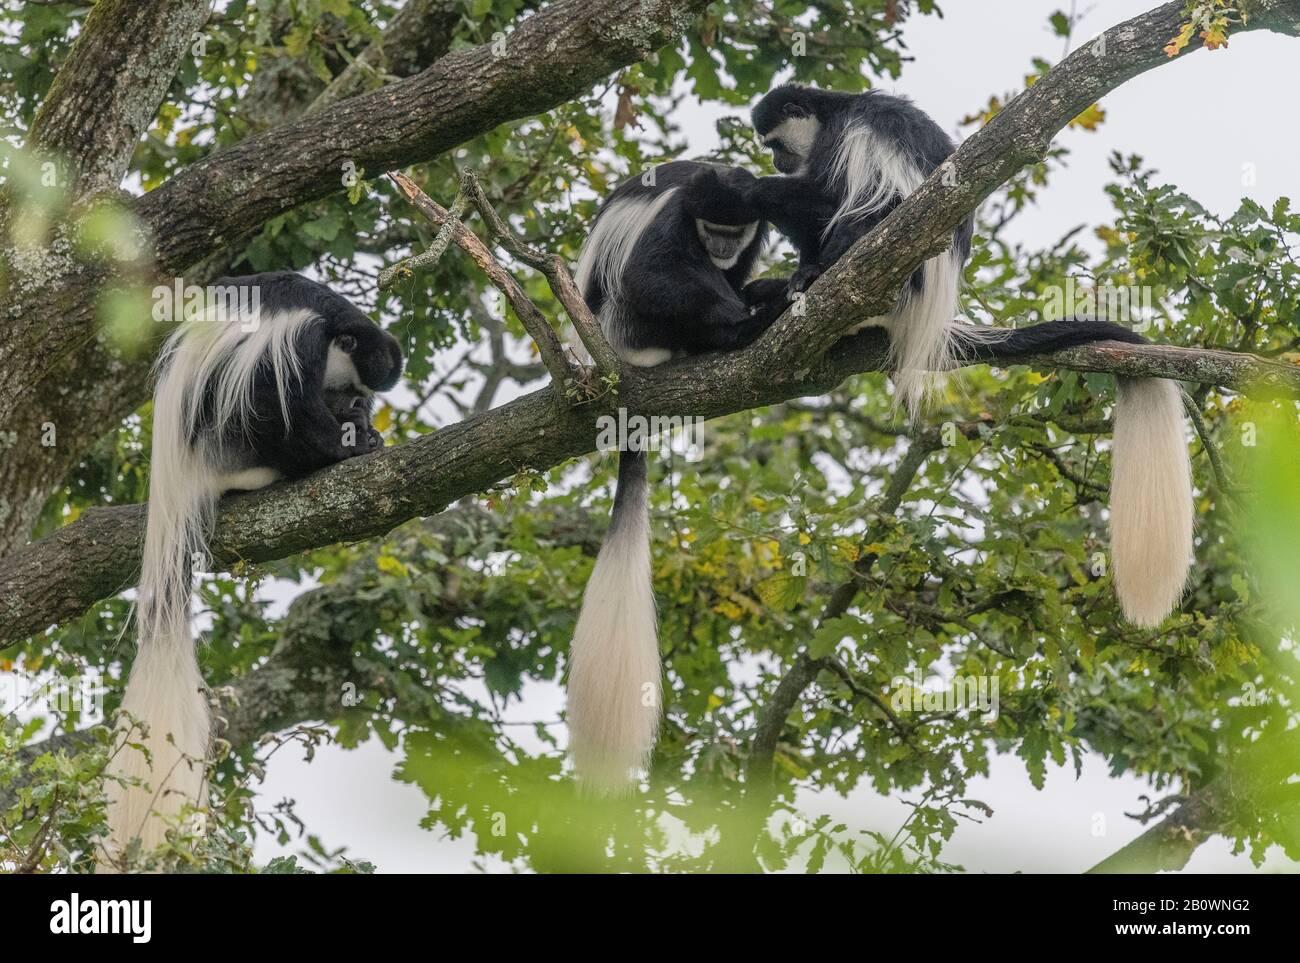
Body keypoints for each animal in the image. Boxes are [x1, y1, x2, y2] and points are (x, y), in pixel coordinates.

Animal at [102, 270, 400, 862]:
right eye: (349, 387)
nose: (356, 405)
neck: (330, 316)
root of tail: (177, 481)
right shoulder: (298, 340)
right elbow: (275, 396)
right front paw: (347, 445)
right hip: (225, 444)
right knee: (262, 410)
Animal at [566, 159, 780, 790]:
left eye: (735, 232)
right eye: (712, 227)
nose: (721, 248)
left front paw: (754, 290)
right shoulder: (675, 219)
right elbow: (648, 274)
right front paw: (744, 315)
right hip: (628, 327)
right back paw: (738, 327)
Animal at [754, 84, 1190, 631]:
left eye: (775, 142)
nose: (773, 159)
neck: (837, 108)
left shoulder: (855, 136)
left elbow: (860, 201)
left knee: (857, 212)